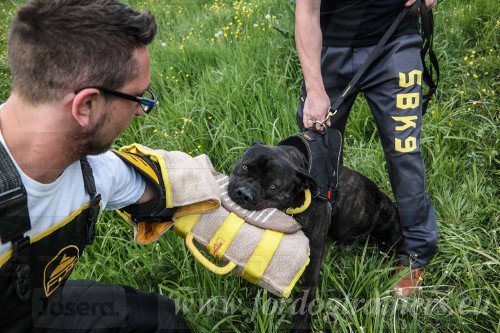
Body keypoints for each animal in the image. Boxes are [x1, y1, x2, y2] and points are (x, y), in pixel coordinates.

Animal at [227, 141, 402, 330]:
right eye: (245, 167)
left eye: (272, 186)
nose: (243, 193)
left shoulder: (315, 251)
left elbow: (307, 290)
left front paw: (300, 324)